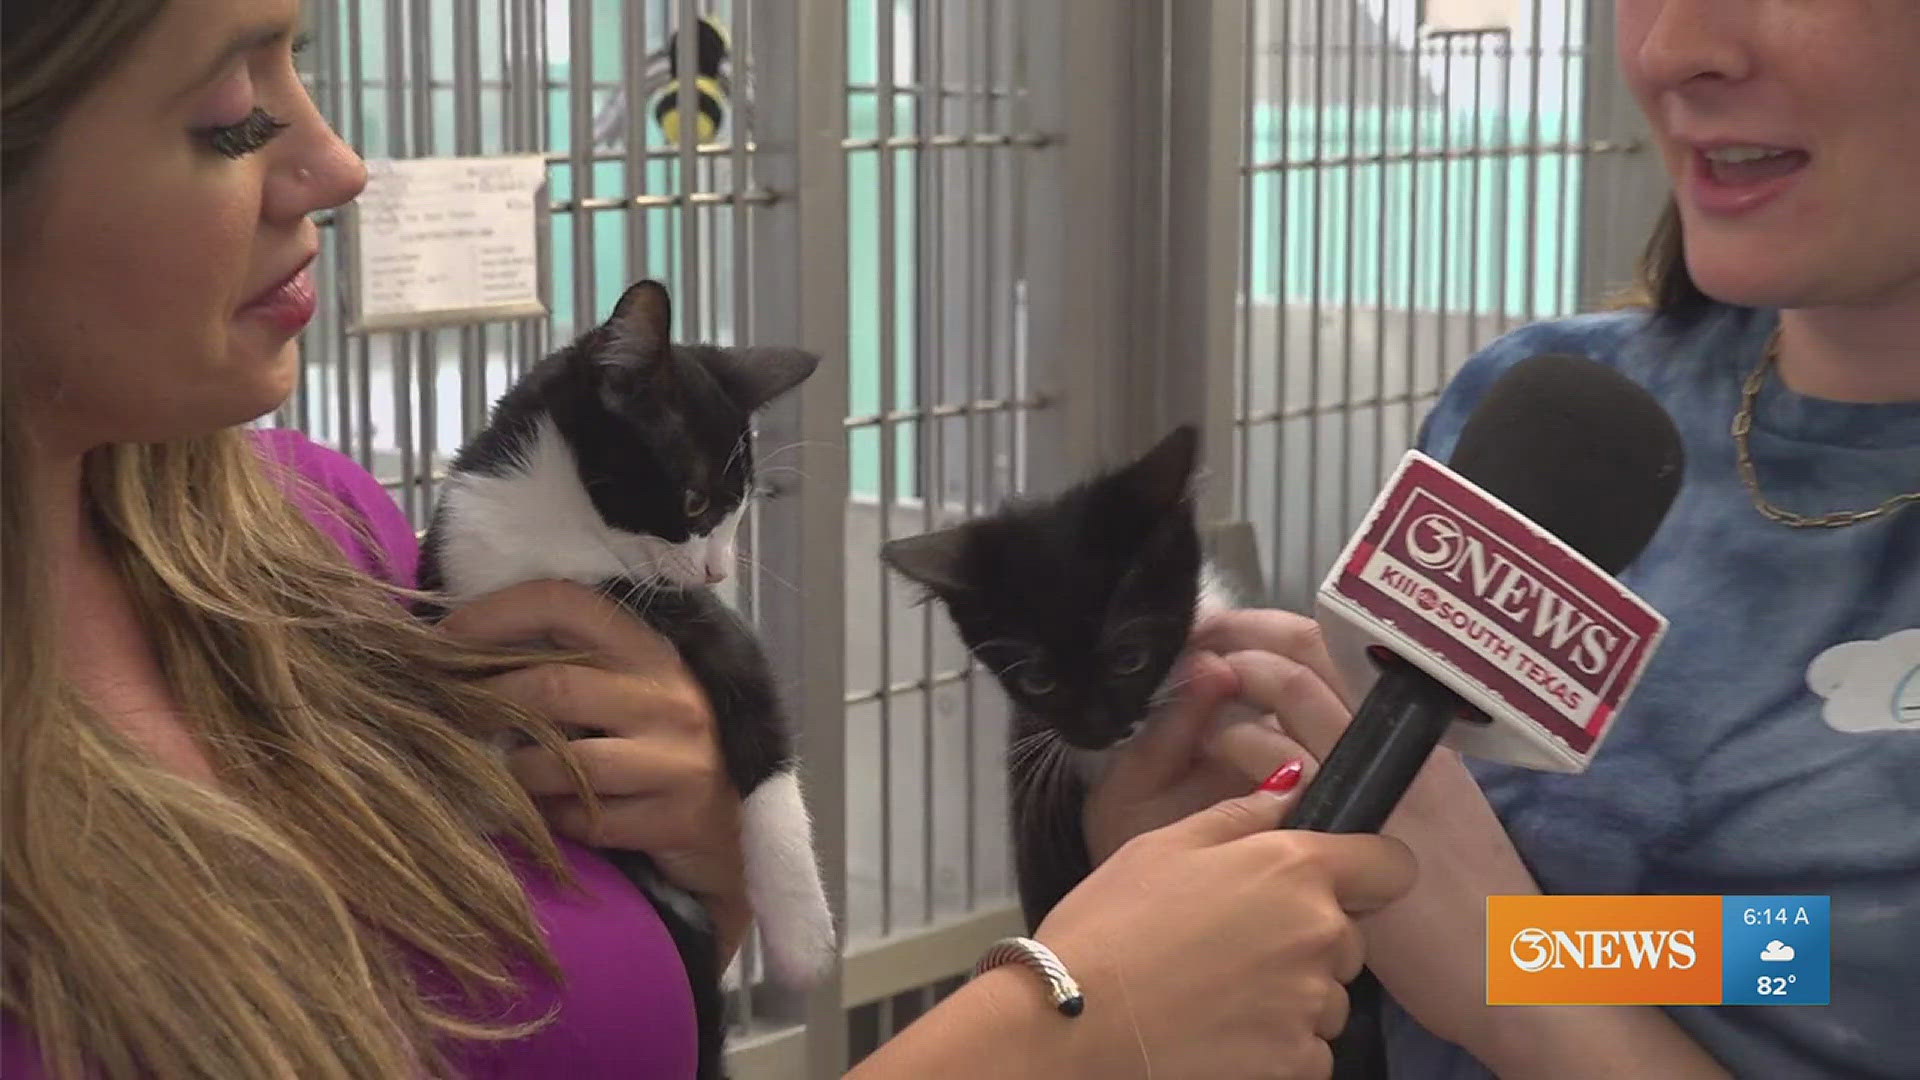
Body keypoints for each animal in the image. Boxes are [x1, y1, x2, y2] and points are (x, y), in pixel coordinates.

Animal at [416, 278, 837, 1076]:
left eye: (739, 510)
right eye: (695, 500)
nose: (720, 571)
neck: (562, 533)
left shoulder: (693, 617)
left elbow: (763, 735)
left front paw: (802, 933)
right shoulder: (461, 572)